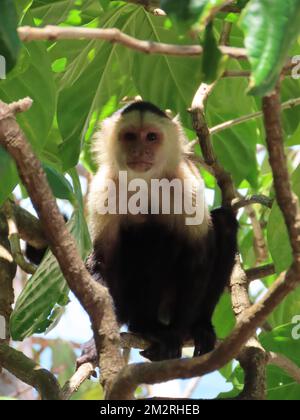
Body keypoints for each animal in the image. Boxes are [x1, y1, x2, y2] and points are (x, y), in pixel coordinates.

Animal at [78, 101, 238, 364]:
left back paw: (196, 326)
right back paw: (144, 326)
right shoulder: (104, 188)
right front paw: (99, 340)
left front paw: (178, 332)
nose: (140, 151)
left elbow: (198, 255)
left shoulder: (185, 185)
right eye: (130, 136)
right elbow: (102, 261)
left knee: (217, 225)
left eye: (151, 137)